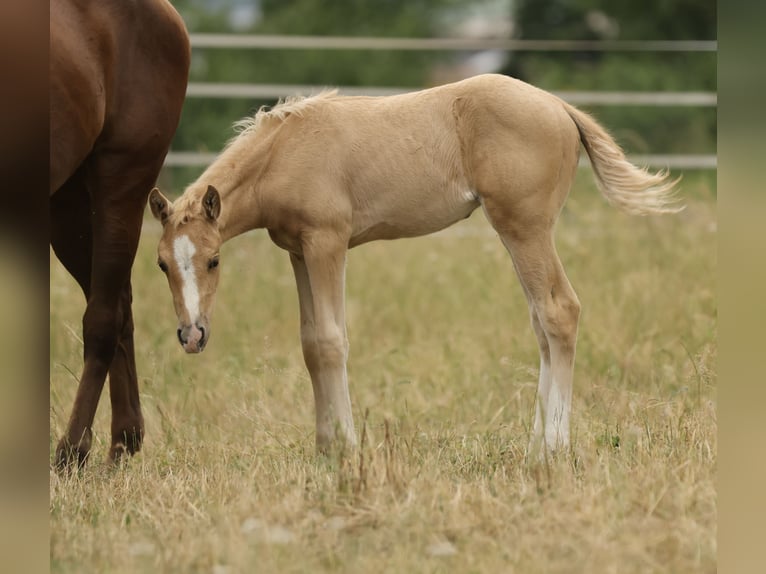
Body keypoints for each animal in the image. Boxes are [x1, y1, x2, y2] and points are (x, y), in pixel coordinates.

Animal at [50, 0, 189, 469]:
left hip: (120, 183)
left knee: (104, 318)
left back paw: (73, 450)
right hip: (68, 208)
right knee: (119, 305)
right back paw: (124, 441)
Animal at [148, 73, 680, 456]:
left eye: (214, 260)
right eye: (160, 265)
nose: (192, 335)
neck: (284, 151)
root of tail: (560, 108)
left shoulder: (327, 242)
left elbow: (331, 342)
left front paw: (346, 449)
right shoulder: (298, 250)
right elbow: (310, 343)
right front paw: (324, 448)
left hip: (524, 228)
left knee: (559, 312)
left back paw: (552, 447)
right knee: (541, 322)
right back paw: (533, 447)